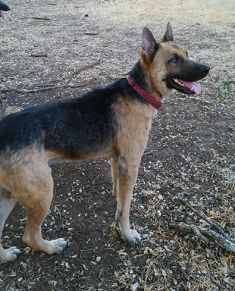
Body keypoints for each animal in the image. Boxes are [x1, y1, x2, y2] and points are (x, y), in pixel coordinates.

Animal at [0, 24, 209, 264]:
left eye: (187, 53)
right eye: (173, 59)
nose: (207, 69)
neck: (139, 92)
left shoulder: (116, 161)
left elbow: (119, 197)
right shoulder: (131, 165)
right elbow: (126, 208)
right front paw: (127, 234)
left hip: (9, 195)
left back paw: (5, 255)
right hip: (42, 192)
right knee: (30, 236)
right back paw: (51, 247)